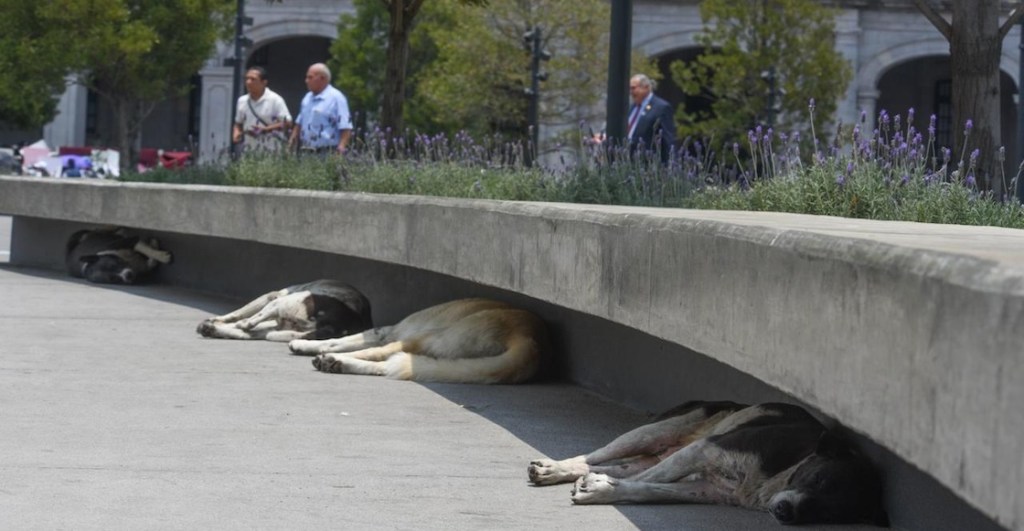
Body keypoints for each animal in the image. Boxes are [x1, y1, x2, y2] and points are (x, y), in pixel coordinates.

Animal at [193, 280, 374, 343]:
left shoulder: (274, 301)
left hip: (278, 302)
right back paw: (211, 329)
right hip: (281, 327)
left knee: (248, 321)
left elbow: (238, 316)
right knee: (250, 331)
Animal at [288, 296, 548, 384]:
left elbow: (342, 341)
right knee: (391, 364)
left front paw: (308, 346)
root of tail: (530, 338)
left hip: (431, 336)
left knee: (381, 355)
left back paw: (332, 360)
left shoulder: (384, 332)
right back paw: (339, 364)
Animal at [528, 403, 888, 527]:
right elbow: (647, 479)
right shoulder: (706, 449)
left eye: (829, 513)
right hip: (658, 431)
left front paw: (601, 489)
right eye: (818, 479)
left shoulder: (707, 488)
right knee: (594, 456)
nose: (786, 513)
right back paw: (555, 468)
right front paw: (601, 489)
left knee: (622, 467)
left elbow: (649, 487)